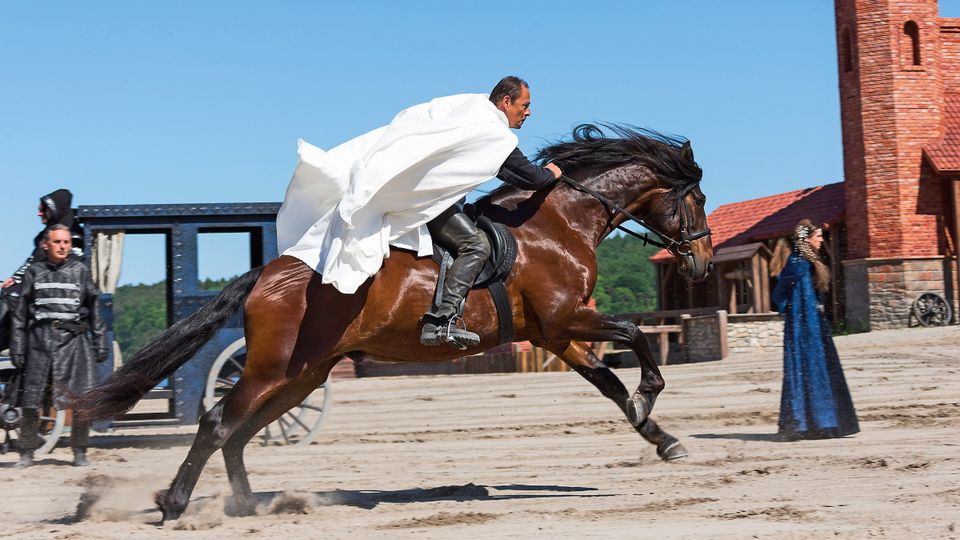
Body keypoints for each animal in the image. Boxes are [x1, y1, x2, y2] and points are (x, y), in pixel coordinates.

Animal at [77, 123, 712, 520]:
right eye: (699, 200)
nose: (702, 262)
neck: (557, 223)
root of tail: (264, 275)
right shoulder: (569, 319)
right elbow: (635, 338)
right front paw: (649, 396)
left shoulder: (557, 333)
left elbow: (608, 384)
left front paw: (660, 436)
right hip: (269, 370)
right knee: (216, 424)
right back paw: (175, 504)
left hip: (302, 375)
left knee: (239, 432)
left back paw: (251, 505)